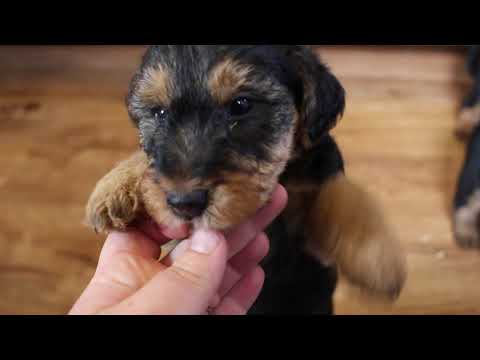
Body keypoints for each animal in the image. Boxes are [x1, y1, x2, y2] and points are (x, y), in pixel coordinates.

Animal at [85, 45, 404, 316]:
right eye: (159, 112)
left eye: (241, 105)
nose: (184, 203)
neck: (283, 176)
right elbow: (147, 159)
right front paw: (114, 187)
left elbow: (340, 191)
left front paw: (375, 256)